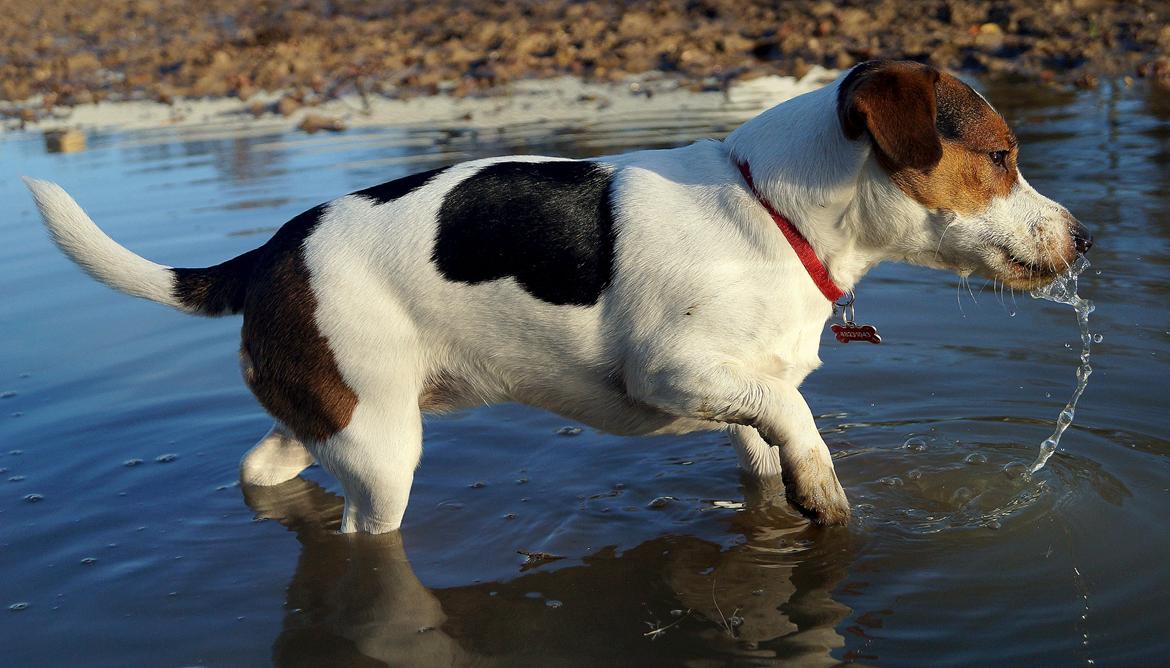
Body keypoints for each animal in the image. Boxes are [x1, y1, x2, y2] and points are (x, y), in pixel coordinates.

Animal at [25, 61, 1085, 533]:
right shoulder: (673, 373)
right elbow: (799, 419)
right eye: (1002, 156)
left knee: (259, 464)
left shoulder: (739, 399)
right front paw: (826, 489)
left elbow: (774, 434)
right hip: (383, 455)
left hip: (337, 411)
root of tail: (273, 251)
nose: (1084, 237)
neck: (770, 210)